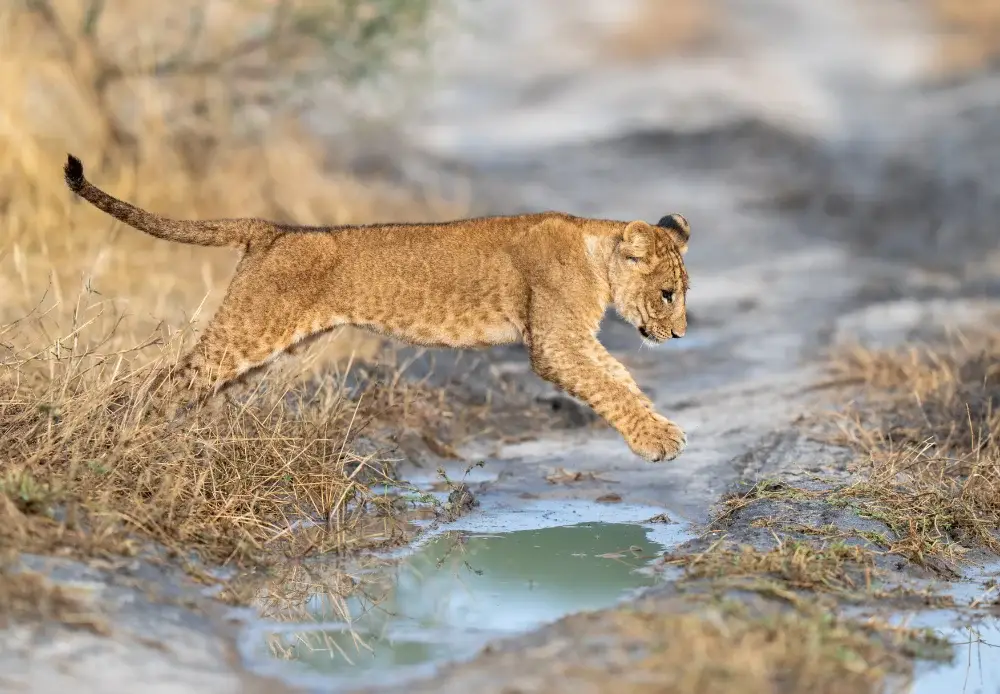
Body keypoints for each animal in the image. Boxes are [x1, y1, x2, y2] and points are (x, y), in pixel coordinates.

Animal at [62, 154, 692, 462]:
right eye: (668, 294)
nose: (681, 335)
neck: (597, 253)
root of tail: (274, 229)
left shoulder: (575, 341)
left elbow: (620, 379)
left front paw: (663, 430)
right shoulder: (557, 344)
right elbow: (610, 387)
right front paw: (657, 443)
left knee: (182, 386)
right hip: (247, 332)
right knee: (160, 382)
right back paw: (122, 439)